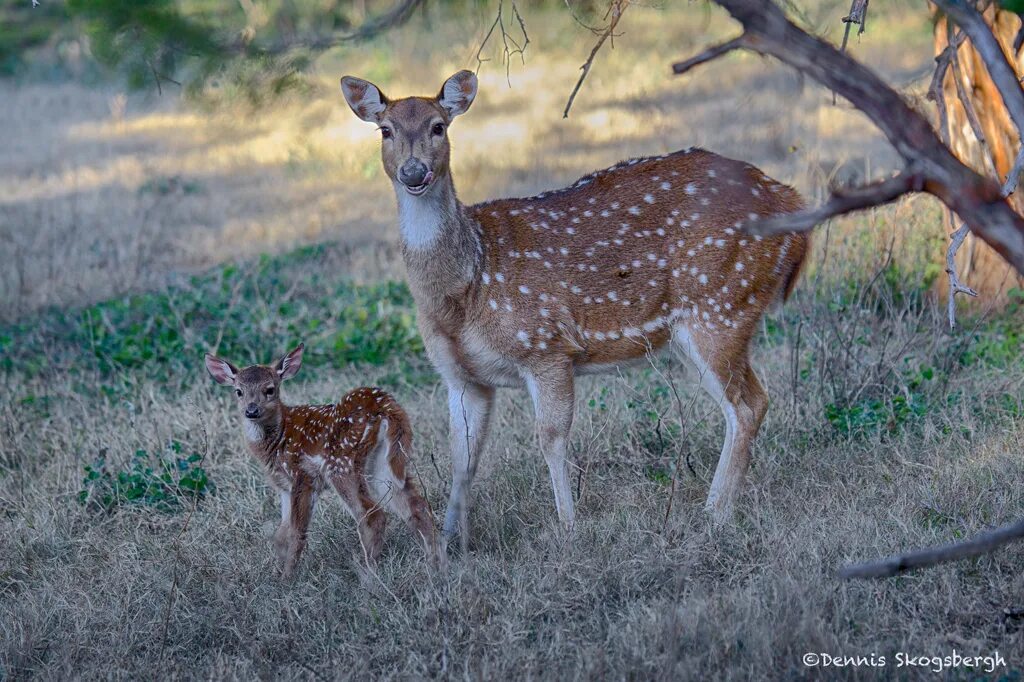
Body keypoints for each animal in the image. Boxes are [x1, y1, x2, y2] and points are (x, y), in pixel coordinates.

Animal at [202, 346, 436, 573]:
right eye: (238, 391)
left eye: (269, 389)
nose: (251, 410)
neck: (278, 438)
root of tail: (384, 406)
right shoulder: (284, 487)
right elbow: (280, 534)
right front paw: (278, 568)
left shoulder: (302, 476)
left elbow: (296, 532)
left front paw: (288, 577)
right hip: (383, 462)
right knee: (415, 504)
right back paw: (434, 559)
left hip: (341, 465)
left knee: (373, 515)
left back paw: (368, 570)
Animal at [344, 69, 806, 536]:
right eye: (386, 130)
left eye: (439, 126)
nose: (414, 171)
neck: (469, 283)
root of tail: (791, 199)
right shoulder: (460, 377)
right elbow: (463, 459)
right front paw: (451, 539)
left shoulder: (546, 345)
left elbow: (550, 438)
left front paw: (568, 526)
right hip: (699, 323)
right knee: (749, 401)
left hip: (720, 303)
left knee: (748, 405)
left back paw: (715, 513)